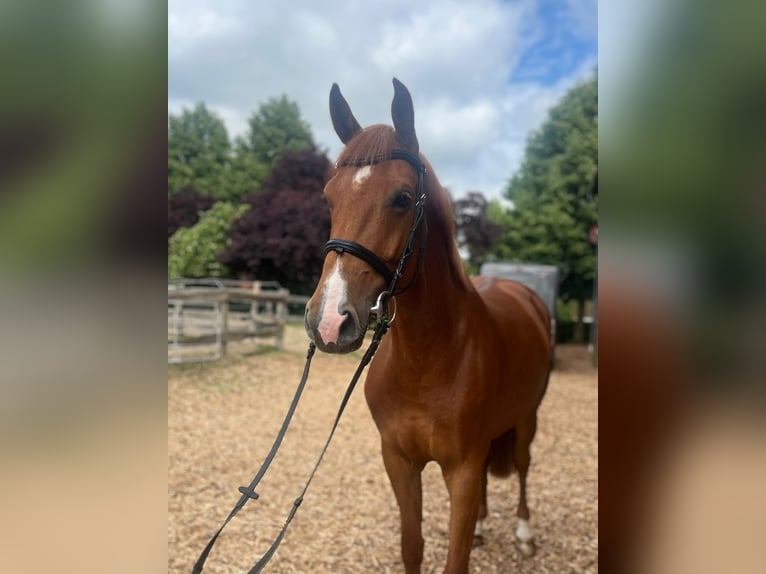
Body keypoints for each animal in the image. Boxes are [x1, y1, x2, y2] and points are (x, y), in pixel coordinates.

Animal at [305, 78, 552, 574]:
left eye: (402, 198)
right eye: (328, 197)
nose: (329, 321)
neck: (427, 360)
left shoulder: (463, 468)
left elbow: (455, 559)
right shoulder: (399, 461)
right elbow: (412, 546)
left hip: (526, 418)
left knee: (522, 466)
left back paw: (523, 532)